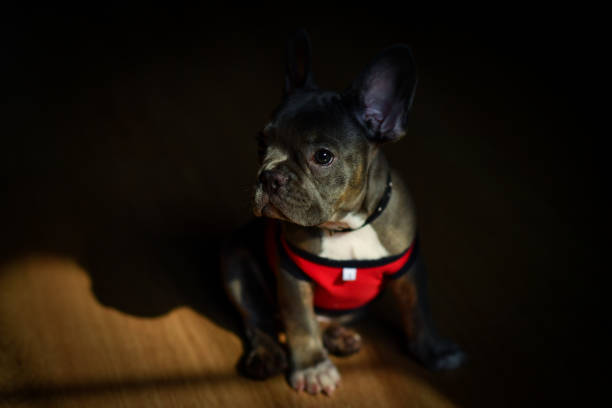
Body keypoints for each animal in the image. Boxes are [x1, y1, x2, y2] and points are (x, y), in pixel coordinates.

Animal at [222, 31, 466, 396]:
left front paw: (433, 351)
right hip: (235, 263)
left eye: (323, 156)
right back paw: (267, 354)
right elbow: (300, 322)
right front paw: (312, 367)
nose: (269, 176)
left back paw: (339, 337)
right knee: (259, 320)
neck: (346, 226)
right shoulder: (292, 276)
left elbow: (419, 312)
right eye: (260, 144)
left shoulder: (410, 269)